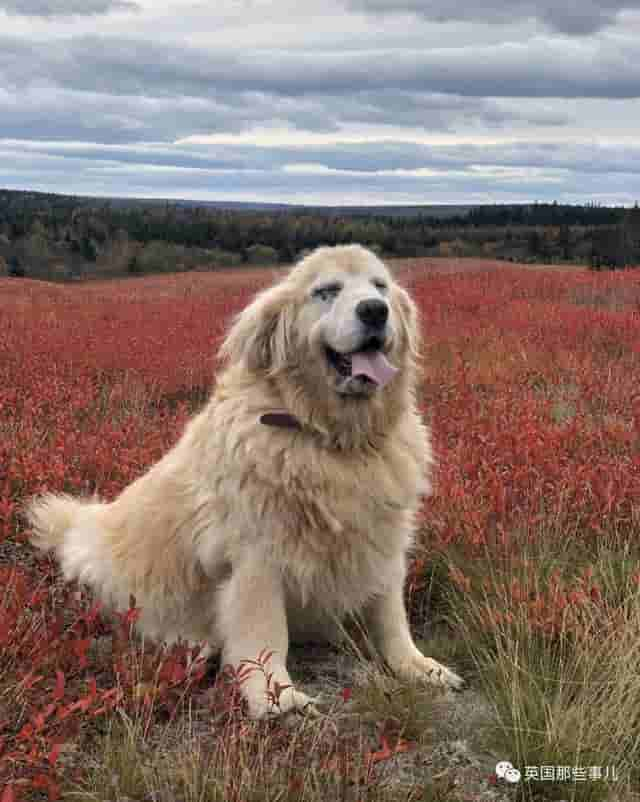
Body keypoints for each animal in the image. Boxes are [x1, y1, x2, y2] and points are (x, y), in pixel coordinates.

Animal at [25, 245, 462, 720]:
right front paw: (277, 696)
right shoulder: (256, 557)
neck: (330, 438)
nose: (374, 311)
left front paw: (417, 666)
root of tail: (78, 524)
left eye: (379, 286)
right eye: (326, 291)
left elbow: (390, 614)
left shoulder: (381, 540)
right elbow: (265, 633)